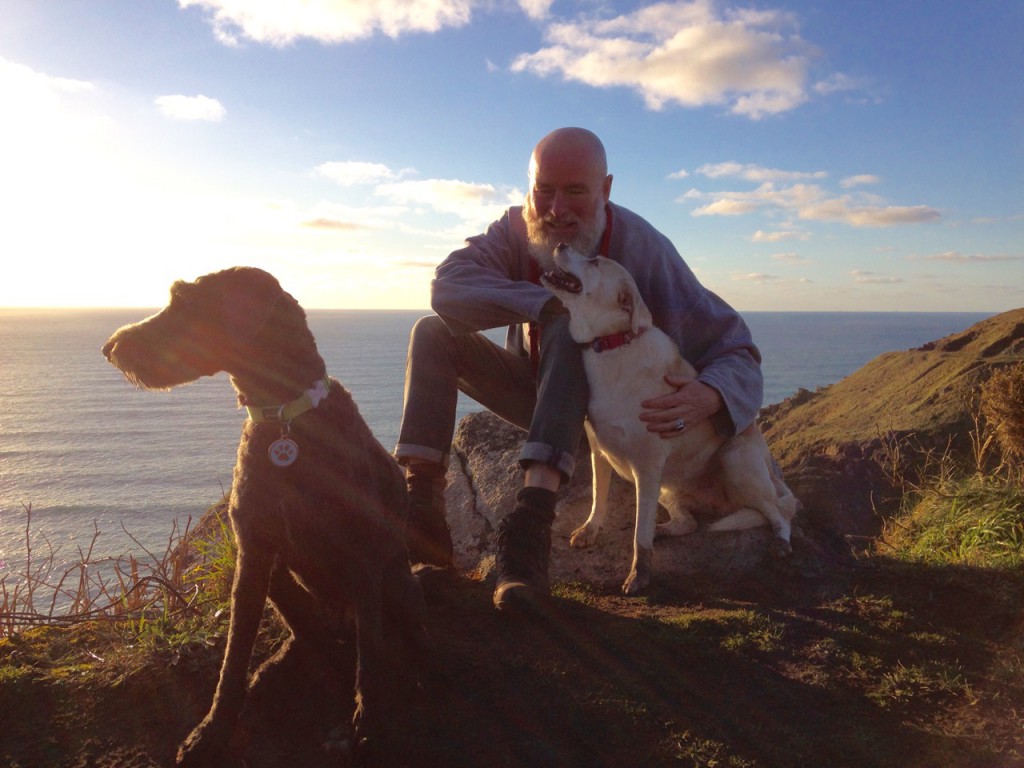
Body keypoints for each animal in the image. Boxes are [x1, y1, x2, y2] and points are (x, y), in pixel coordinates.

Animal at [102, 268, 423, 765]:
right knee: (309, 632)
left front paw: (370, 725)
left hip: (396, 584)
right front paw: (212, 730)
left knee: (389, 638)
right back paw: (281, 665)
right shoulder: (252, 554)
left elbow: (370, 656)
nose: (111, 347)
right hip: (281, 579)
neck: (285, 419)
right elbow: (234, 654)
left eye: (183, 302)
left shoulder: (362, 558)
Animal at [540, 244, 794, 593]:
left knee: (779, 514)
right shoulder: (598, 451)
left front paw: (639, 574)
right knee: (688, 522)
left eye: (594, 261)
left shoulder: (646, 467)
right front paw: (591, 529)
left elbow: (639, 535)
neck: (613, 345)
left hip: (736, 463)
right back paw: (664, 529)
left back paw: (781, 542)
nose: (561, 245)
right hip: (668, 488)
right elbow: (598, 498)